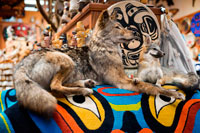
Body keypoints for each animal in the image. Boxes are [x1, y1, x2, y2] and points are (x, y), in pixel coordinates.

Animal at [13, 9, 184, 117]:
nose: (136, 32)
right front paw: (174, 93)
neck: (107, 48)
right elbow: (152, 87)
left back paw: (86, 83)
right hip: (67, 60)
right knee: (54, 87)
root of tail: (22, 63)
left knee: (56, 85)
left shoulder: (125, 76)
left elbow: (146, 81)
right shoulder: (120, 81)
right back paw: (84, 90)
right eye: (117, 27)